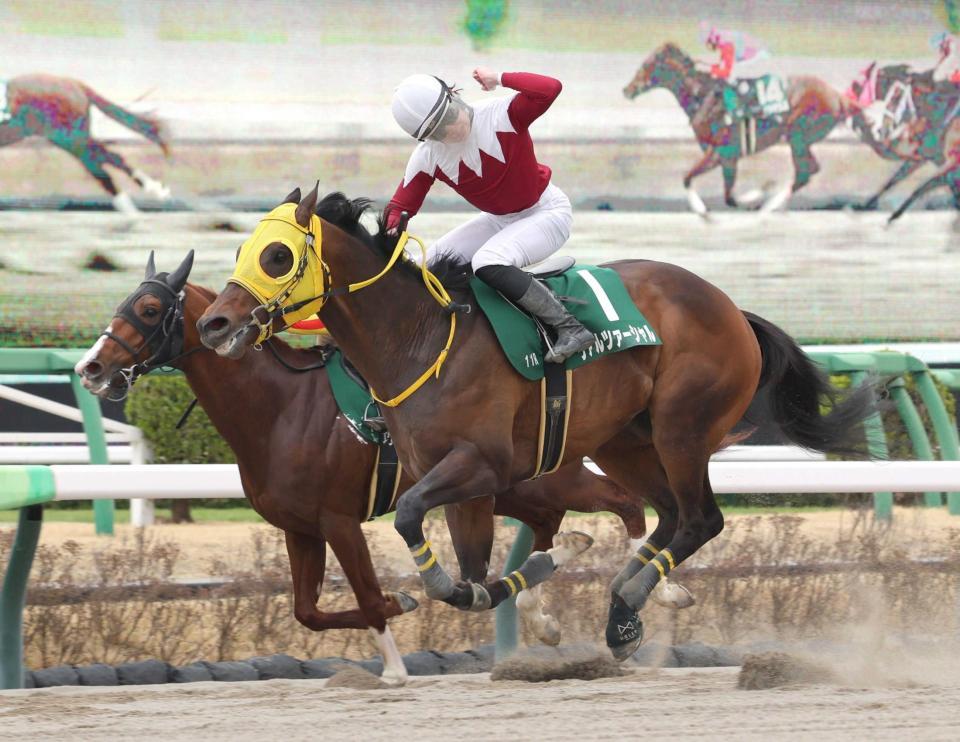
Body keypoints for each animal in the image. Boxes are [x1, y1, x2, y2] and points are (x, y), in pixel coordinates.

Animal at [1, 74, 172, 212]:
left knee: (101, 164)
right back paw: (148, 195)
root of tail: (74, 83)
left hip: (70, 138)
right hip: (73, 138)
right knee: (108, 158)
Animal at [71, 248, 668, 684]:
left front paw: (397, 656)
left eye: (149, 310)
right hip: (510, 489)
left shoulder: (338, 520)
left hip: (542, 477)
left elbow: (364, 593)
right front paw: (401, 608)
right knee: (554, 527)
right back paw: (549, 609)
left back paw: (654, 590)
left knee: (622, 503)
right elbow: (308, 612)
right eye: (124, 303)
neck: (281, 407)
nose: (90, 367)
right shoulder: (299, 528)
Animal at [197, 187, 876, 664]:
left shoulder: (482, 465)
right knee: (664, 514)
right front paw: (535, 573)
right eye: (242, 251)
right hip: (626, 440)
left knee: (700, 518)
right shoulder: (458, 484)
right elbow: (469, 579)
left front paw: (536, 569)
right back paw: (624, 612)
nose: (214, 324)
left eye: (277, 255)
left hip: (681, 428)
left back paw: (631, 599)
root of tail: (730, 306)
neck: (419, 341)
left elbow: (417, 523)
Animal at [624, 43, 848, 217]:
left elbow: (692, 179)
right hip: (802, 140)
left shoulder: (719, 152)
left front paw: (704, 208)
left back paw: (769, 205)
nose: (627, 89)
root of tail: (836, 96)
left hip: (797, 135)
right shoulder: (727, 157)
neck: (702, 97)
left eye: (646, 65)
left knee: (803, 173)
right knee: (810, 170)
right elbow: (726, 195)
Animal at [844, 61, 960, 222]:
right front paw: (865, 206)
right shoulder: (925, 157)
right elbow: (894, 180)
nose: (882, 129)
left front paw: (894, 216)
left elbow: (924, 186)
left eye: (896, 95)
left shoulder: (950, 164)